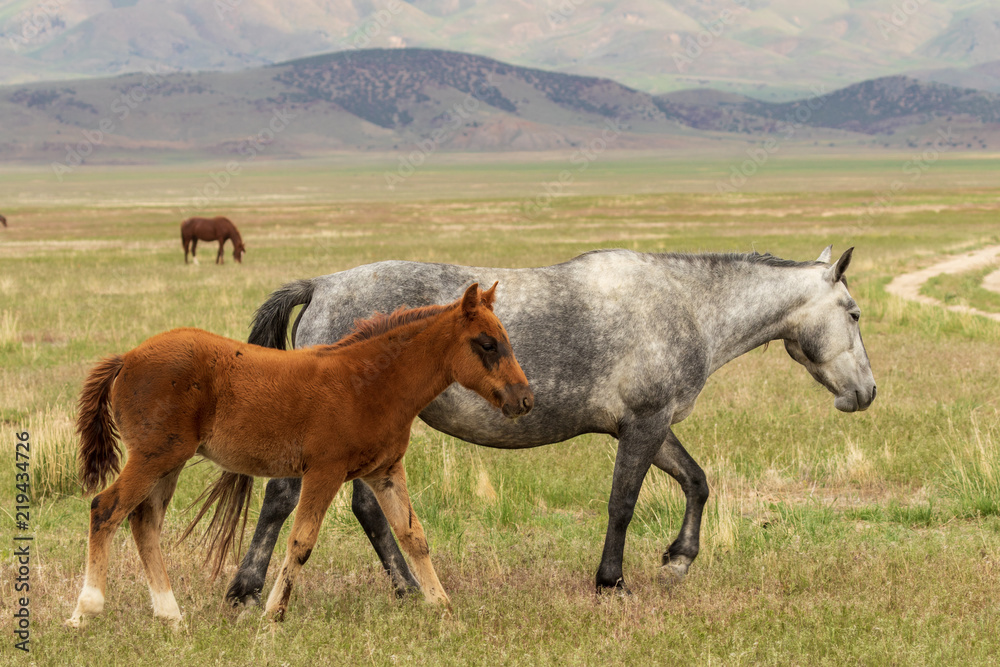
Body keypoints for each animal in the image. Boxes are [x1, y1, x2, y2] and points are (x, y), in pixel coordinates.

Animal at [65, 283, 533, 629]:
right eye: (487, 344)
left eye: (507, 339)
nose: (524, 400)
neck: (369, 382)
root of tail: (127, 358)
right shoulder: (324, 471)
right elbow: (302, 540)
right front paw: (274, 613)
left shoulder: (385, 471)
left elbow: (413, 536)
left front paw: (443, 609)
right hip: (153, 457)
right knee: (106, 509)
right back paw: (85, 611)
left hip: (169, 462)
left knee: (144, 522)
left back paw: (171, 615)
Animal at [222, 246, 876, 605]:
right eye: (853, 313)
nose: (866, 393)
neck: (687, 305)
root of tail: (322, 286)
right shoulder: (644, 426)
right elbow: (623, 503)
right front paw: (612, 582)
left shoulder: (650, 426)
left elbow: (696, 482)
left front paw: (678, 560)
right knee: (283, 498)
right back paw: (246, 589)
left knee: (366, 508)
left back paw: (407, 589)